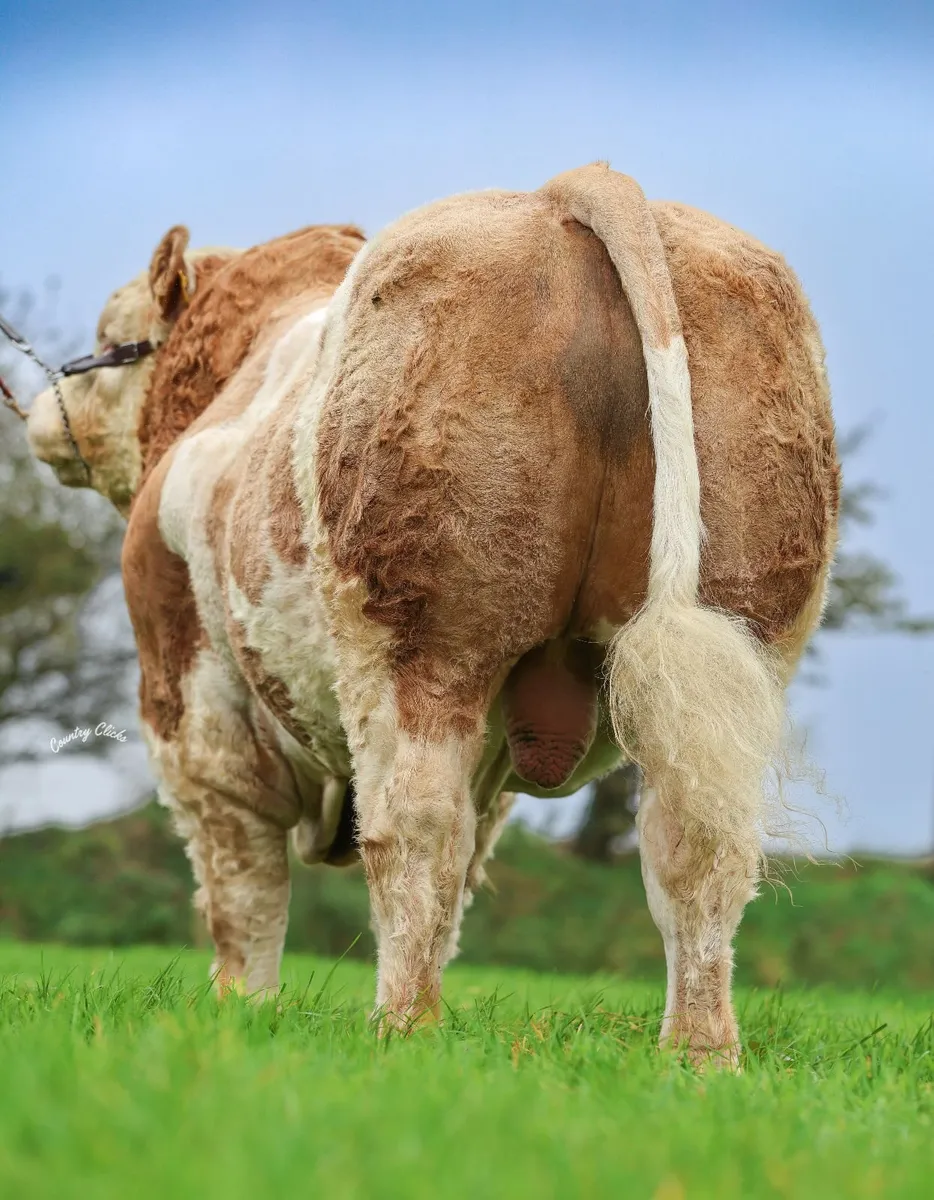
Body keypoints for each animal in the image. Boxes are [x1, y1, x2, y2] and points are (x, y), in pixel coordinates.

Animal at [26, 163, 839, 1067]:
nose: (39, 411)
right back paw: (698, 1056)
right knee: (694, 838)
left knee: (414, 826)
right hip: (740, 636)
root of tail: (569, 188)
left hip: (420, 641)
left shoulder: (191, 702)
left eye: (109, 333)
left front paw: (240, 1012)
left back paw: (402, 1029)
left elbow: (241, 883)